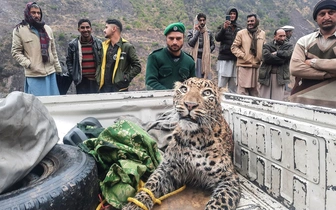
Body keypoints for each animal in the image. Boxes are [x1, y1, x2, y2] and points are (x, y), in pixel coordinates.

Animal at [122, 77, 240, 210]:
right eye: (184, 89)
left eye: (207, 93)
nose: (189, 104)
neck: (194, 137)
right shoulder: (168, 168)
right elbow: (151, 184)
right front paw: (133, 205)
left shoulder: (229, 178)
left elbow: (218, 203)